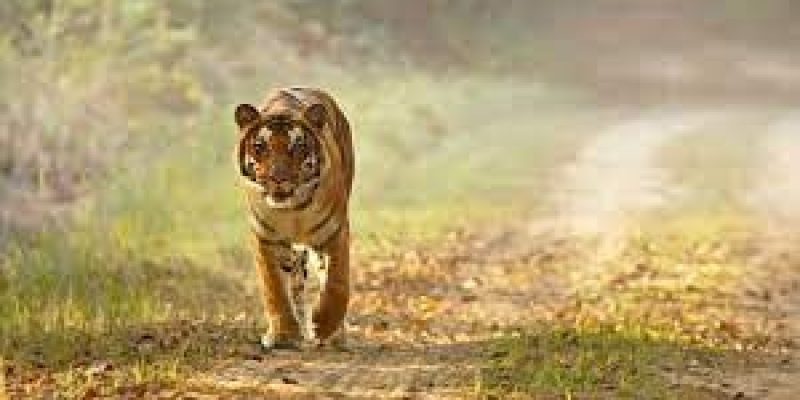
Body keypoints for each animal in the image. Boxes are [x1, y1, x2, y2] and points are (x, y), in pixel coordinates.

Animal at [233, 87, 354, 349]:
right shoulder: (265, 238)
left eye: (297, 147)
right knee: (296, 285)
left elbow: (337, 285)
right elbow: (274, 289)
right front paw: (283, 334)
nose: (278, 177)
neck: (293, 209)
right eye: (260, 146)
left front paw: (323, 326)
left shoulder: (335, 232)